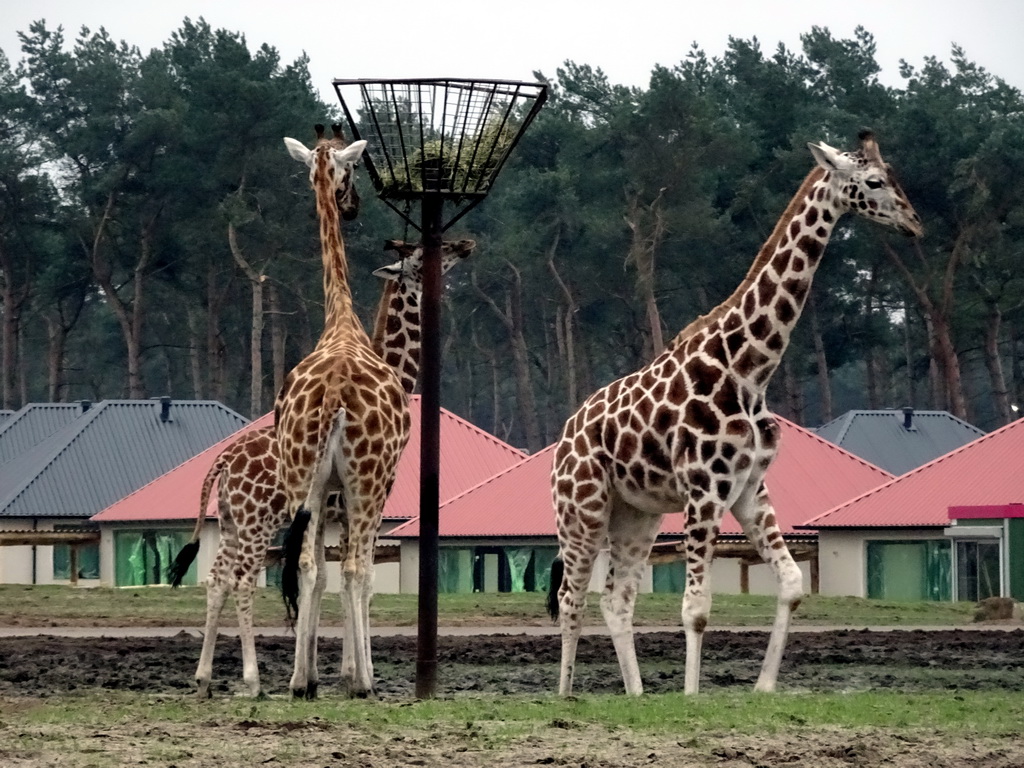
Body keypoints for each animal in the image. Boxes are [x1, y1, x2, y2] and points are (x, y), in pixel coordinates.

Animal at [167, 239, 475, 696]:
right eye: (421, 256)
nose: (463, 246)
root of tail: (223, 461)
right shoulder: (361, 506)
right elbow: (359, 581)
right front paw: (356, 675)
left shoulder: (331, 514)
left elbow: (326, 579)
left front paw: (319, 672)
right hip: (257, 522)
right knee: (242, 580)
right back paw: (253, 680)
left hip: (230, 522)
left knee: (217, 578)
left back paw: (204, 678)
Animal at [548, 131, 925, 696]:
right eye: (875, 181)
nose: (914, 223)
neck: (749, 371)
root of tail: (564, 438)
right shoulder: (704, 488)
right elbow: (696, 608)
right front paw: (691, 697)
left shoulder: (749, 487)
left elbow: (792, 583)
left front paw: (763, 686)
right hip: (582, 510)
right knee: (571, 599)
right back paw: (566, 696)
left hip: (636, 513)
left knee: (615, 599)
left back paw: (636, 696)